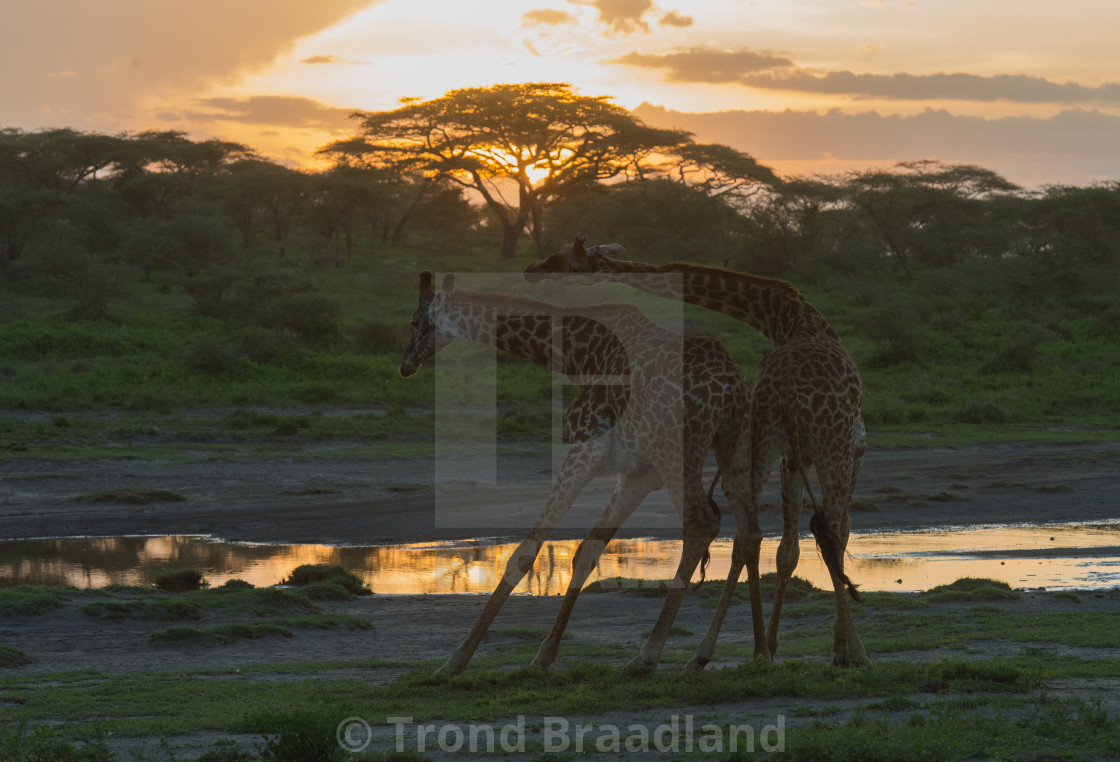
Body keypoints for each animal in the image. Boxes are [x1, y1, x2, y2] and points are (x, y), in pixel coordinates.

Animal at [398, 271, 757, 676]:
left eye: (414, 321)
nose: (406, 364)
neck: (578, 354)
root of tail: (731, 389)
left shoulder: (588, 447)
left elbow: (524, 552)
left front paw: (456, 660)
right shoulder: (638, 475)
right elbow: (586, 551)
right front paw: (545, 654)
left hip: (677, 454)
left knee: (701, 523)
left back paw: (647, 654)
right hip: (734, 449)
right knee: (748, 532)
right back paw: (718, 652)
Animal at [519, 234, 869, 667]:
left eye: (570, 260)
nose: (531, 270)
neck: (789, 317)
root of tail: (788, 390)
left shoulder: (816, 452)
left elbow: (801, 545)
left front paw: (803, 645)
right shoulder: (837, 451)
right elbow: (825, 537)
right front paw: (834, 646)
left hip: (776, 441)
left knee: (755, 534)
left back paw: (719, 653)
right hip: (811, 445)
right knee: (798, 535)